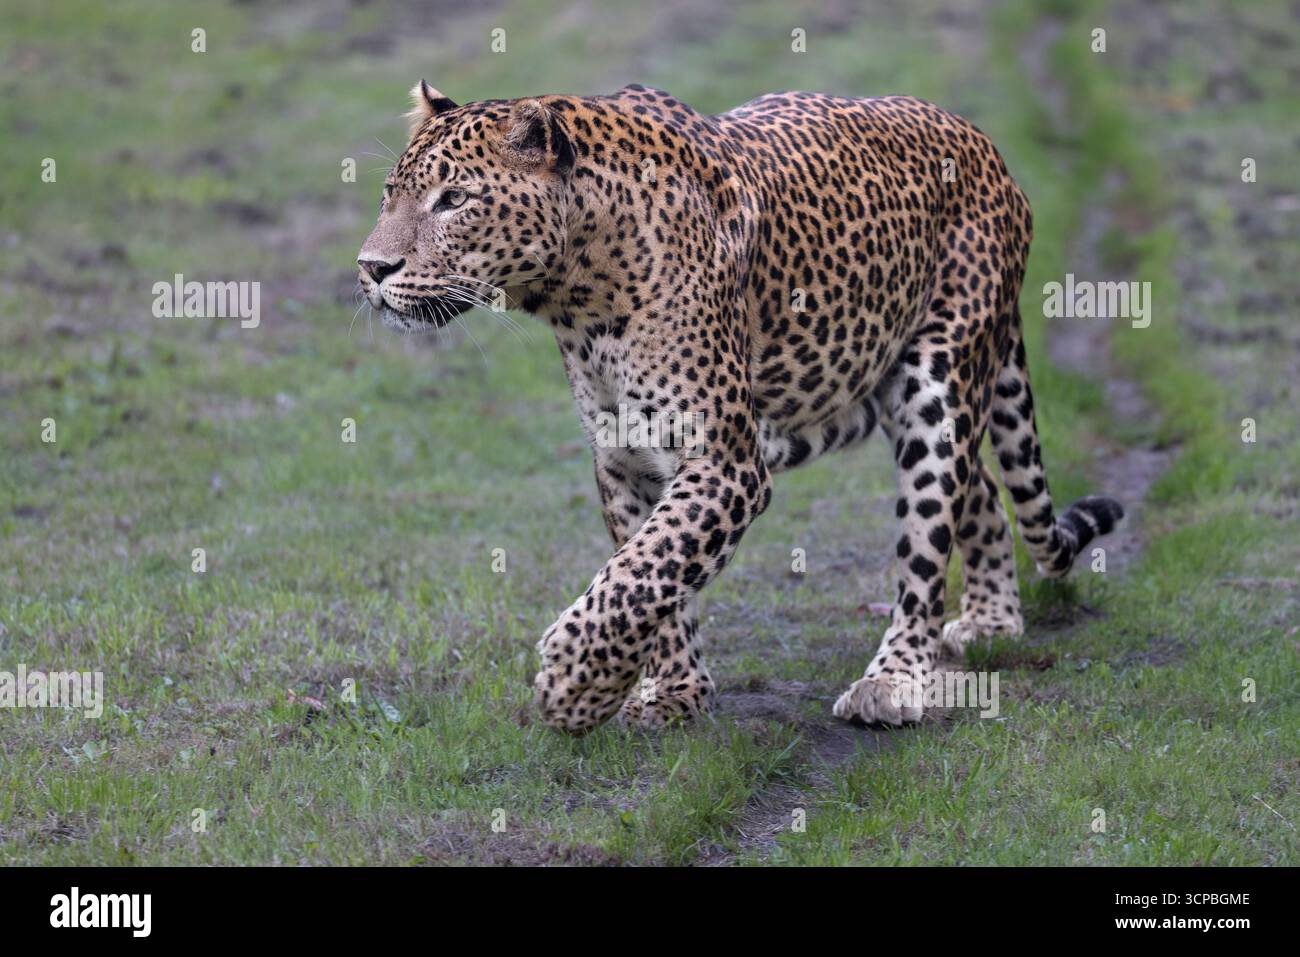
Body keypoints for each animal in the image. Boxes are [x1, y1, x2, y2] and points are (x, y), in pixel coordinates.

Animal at [356, 80, 1124, 733]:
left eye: (454, 199)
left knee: (928, 541)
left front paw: (574, 686)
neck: (577, 298)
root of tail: (981, 141)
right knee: (982, 488)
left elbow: (640, 573)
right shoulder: (623, 456)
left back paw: (895, 679)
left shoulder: (724, 462)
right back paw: (993, 621)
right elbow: (649, 569)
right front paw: (670, 690)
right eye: (391, 194)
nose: (370, 268)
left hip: (938, 379)